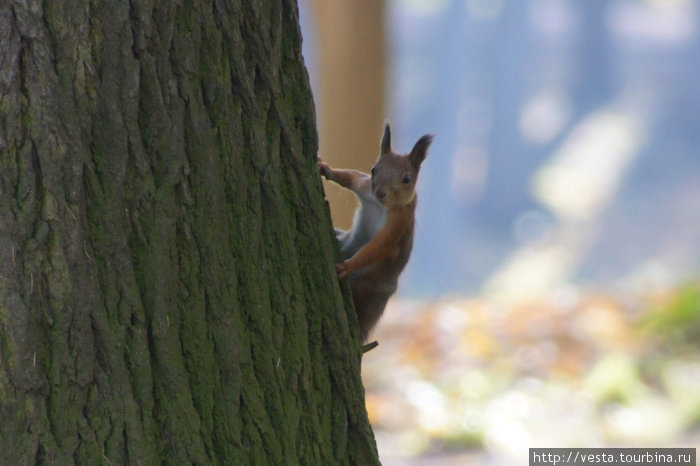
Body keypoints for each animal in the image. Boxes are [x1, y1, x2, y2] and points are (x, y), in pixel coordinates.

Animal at [318, 123, 432, 342]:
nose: (380, 192)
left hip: (367, 286)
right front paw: (326, 169)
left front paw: (346, 266)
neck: (379, 205)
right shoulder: (364, 187)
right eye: (373, 169)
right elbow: (350, 177)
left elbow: (377, 247)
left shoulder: (397, 223)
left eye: (407, 179)